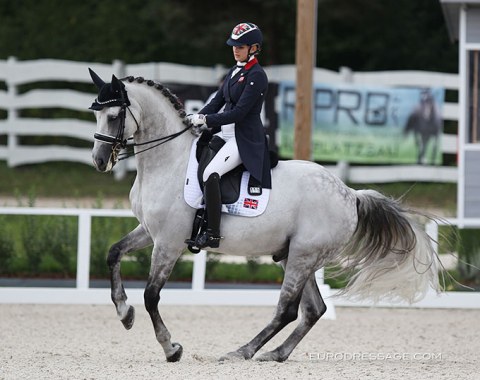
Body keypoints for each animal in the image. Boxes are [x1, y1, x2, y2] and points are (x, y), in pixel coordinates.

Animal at [88, 70, 440, 362]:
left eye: (115, 115)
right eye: (97, 115)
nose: (100, 160)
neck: (168, 161)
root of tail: (350, 195)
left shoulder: (169, 242)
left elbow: (151, 296)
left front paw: (171, 348)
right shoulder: (150, 232)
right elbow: (114, 253)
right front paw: (124, 313)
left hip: (302, 256)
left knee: (287, 310)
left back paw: (242, 351)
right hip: (293, 255)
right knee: (314, 310)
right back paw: (276, 354)